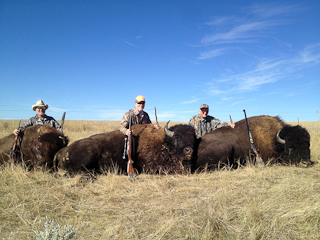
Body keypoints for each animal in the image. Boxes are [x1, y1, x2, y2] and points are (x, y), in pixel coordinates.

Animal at [53, 123, 196, 175]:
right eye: (177, 138)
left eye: (193, 138)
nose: (189, 151)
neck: (164, 143)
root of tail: (61, 151)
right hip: (90, 152)